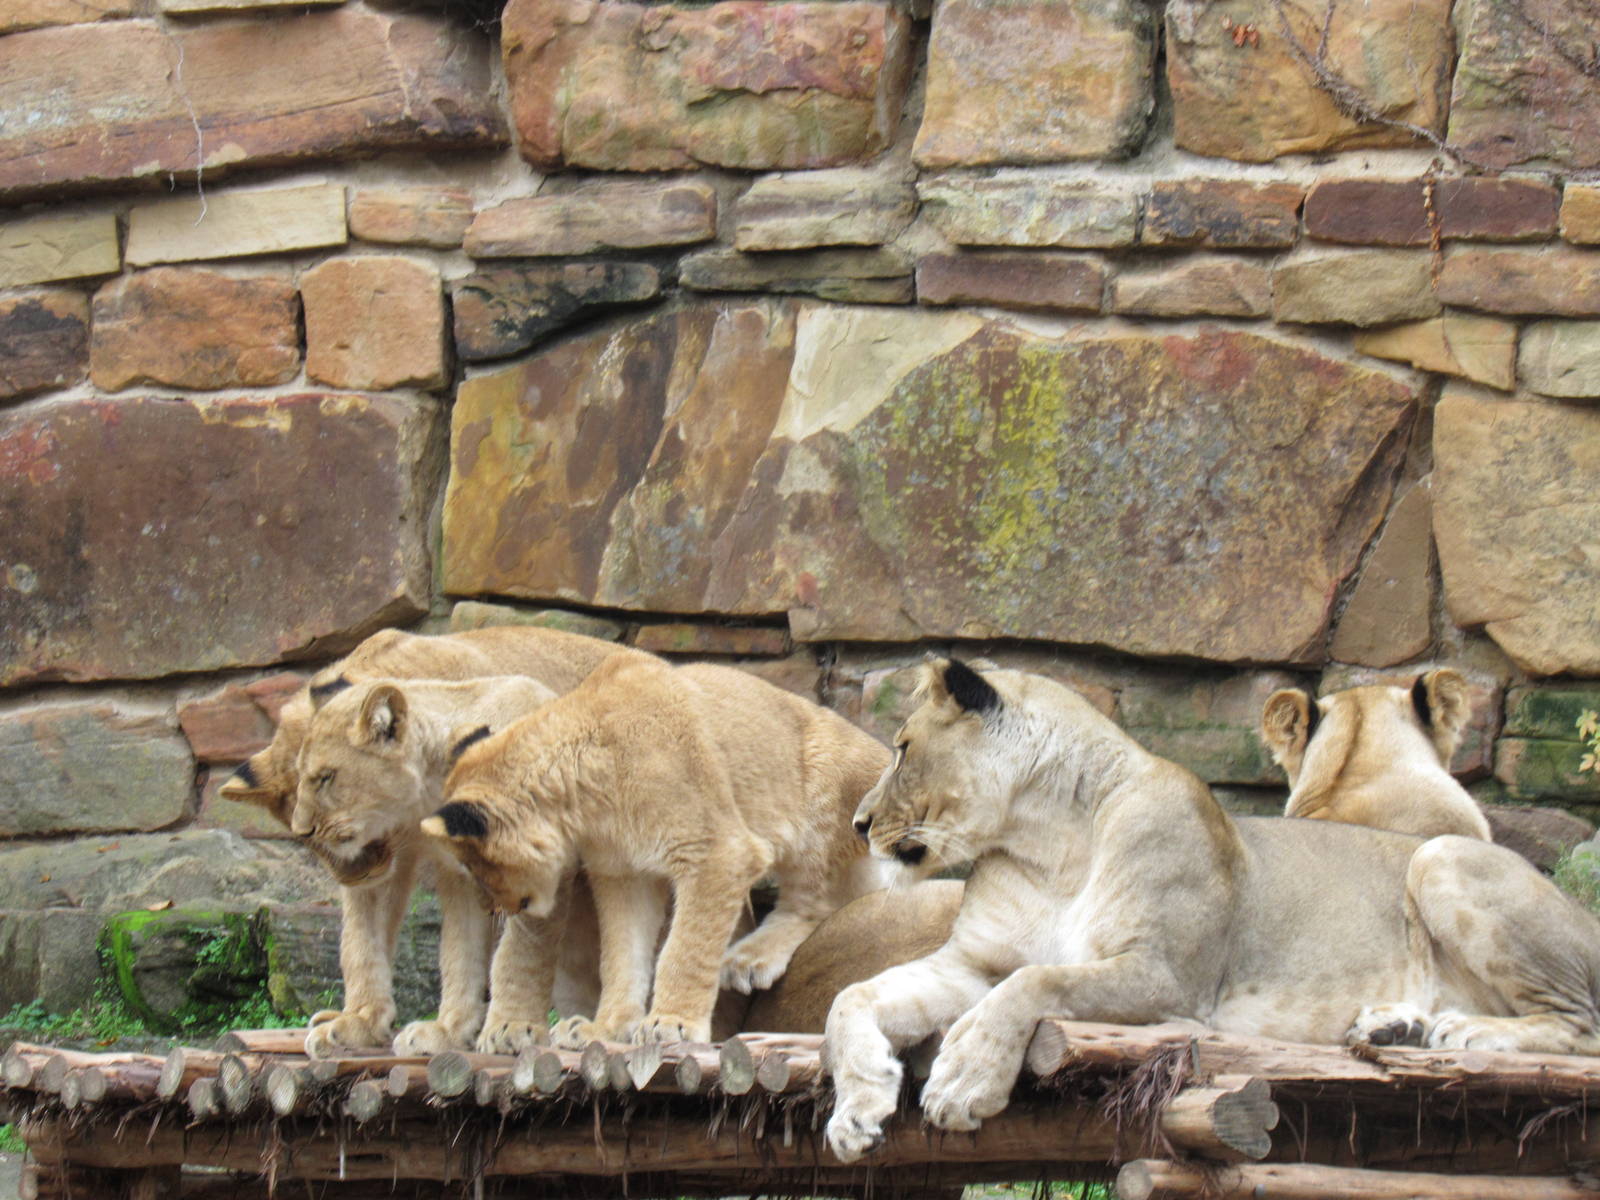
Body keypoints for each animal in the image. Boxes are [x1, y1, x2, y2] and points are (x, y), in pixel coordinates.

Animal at [422, 652, 894, 1047]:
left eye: (475, 868)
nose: (490, 910)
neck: (587, 800)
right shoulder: (622, 874)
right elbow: (621, 956)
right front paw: (607, 1027)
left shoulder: (719, 852)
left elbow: (686, 947)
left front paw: (673, 1023)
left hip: (827, 786)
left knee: (817, 902)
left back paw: (748, 959)